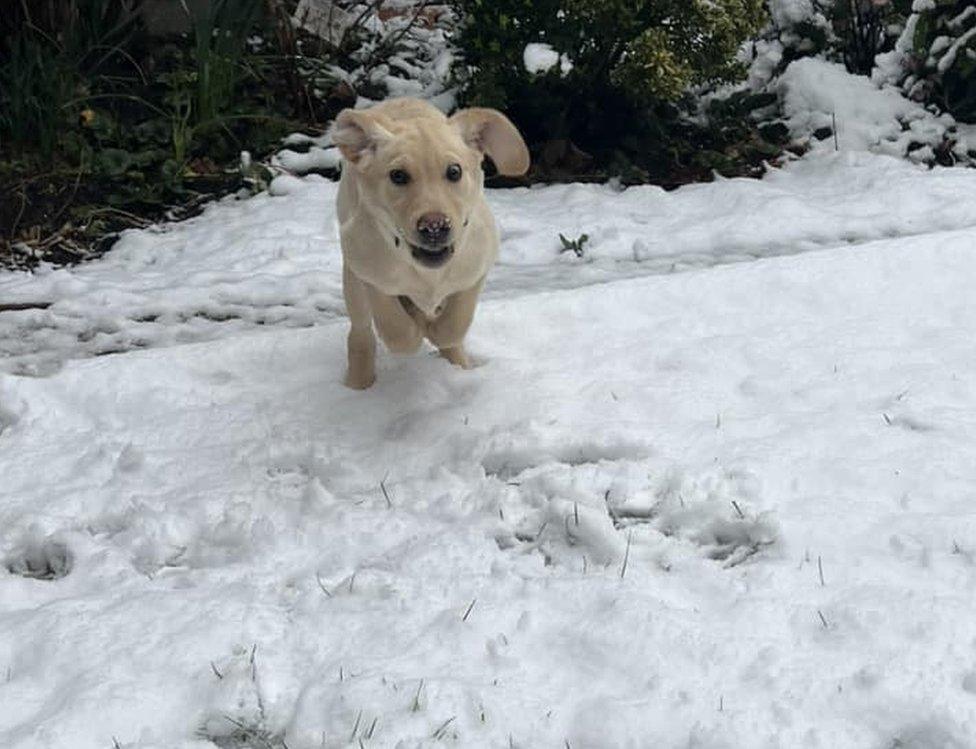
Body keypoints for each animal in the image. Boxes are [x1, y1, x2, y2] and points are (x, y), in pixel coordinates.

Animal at [332, 98, 528, 388]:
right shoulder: (366, 266)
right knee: (361, 332)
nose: (434, 226)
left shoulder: (477, 268)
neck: (427, 273)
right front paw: (415, 328)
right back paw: (359, 382)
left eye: (454, 171)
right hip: (352, 285)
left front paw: (434, 329)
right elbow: (396, 330)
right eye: (398, 175)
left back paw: (458, 362)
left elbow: (455, 324)